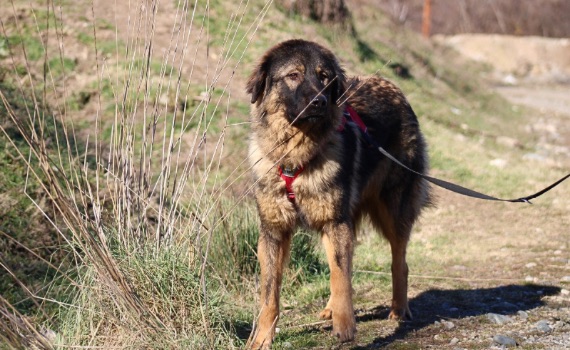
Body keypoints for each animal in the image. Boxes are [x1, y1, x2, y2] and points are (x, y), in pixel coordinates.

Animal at [245, 39, 430, 348]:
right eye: (293, 75)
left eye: (324, 77)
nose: (319, 101)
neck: (296, 159)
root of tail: (393, 87)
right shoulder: (273, 230)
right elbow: (269, 294)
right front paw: (261, 338)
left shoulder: (335, 222)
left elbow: (341, 277)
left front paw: (345, 328)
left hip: (392, 211)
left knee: (399, 262)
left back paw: (399, 308)